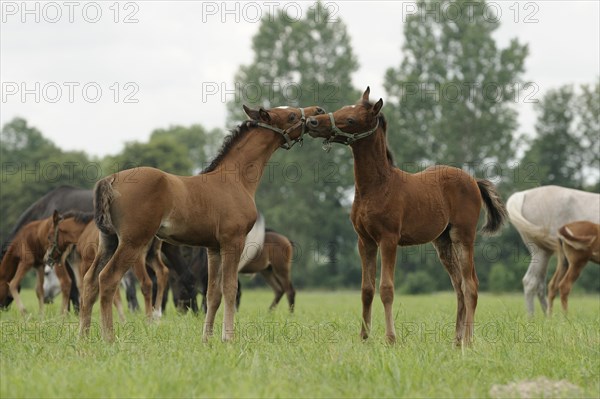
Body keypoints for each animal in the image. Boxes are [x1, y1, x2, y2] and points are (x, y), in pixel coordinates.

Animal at [82, 104, 326, 342]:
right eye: (291, 115)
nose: (318, 112)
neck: (235, 179)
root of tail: (110, 179)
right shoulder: (233, 242)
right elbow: (229, 288)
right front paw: (228, 338)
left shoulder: (213, 248)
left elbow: (213, 293)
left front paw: (207, 338)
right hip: (133, 242)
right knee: (108, 280)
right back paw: (109, 338)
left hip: (109, 241)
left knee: (90, 280)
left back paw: (83, 336)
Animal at [308, 88, 508, 346]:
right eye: (342, 109)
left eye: (351, 120)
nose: (313, 122)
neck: (376, 187)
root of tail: (473, 180)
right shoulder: (364, 241)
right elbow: (367, 290)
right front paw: (364, 338)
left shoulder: (389, 239)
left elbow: (386, 288)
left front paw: (391, 339)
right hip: (442, 241)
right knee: (458, 286)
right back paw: (455, 341)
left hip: (463, 235)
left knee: (470, 285)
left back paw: (467, 341)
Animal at [506, 186, 600, 318]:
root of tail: (524, 194)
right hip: (544, 253)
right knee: (533, 282)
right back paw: (534, 318)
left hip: (553, 258)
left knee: (542, 284)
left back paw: (548, 317)